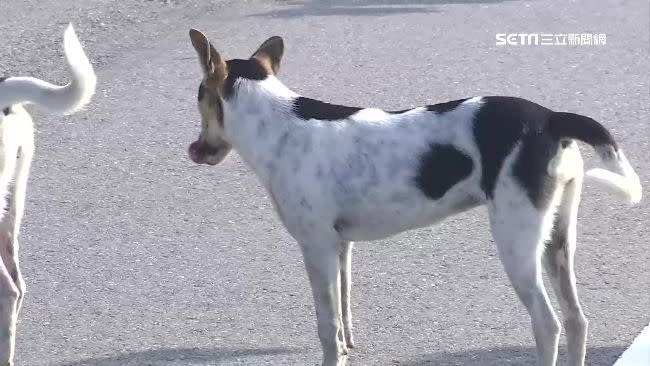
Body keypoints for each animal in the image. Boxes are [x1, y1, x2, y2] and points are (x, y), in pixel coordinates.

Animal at [185, 29, 640, 366]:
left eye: (198, 95)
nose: (193, 150)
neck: (277, 124)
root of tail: (550, 120)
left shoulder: (316, 247)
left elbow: (327, 328)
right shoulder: (341, 248)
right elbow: (344, 316)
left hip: (518, 243)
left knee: (549, 325)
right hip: (558, 240)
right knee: (577, 320)